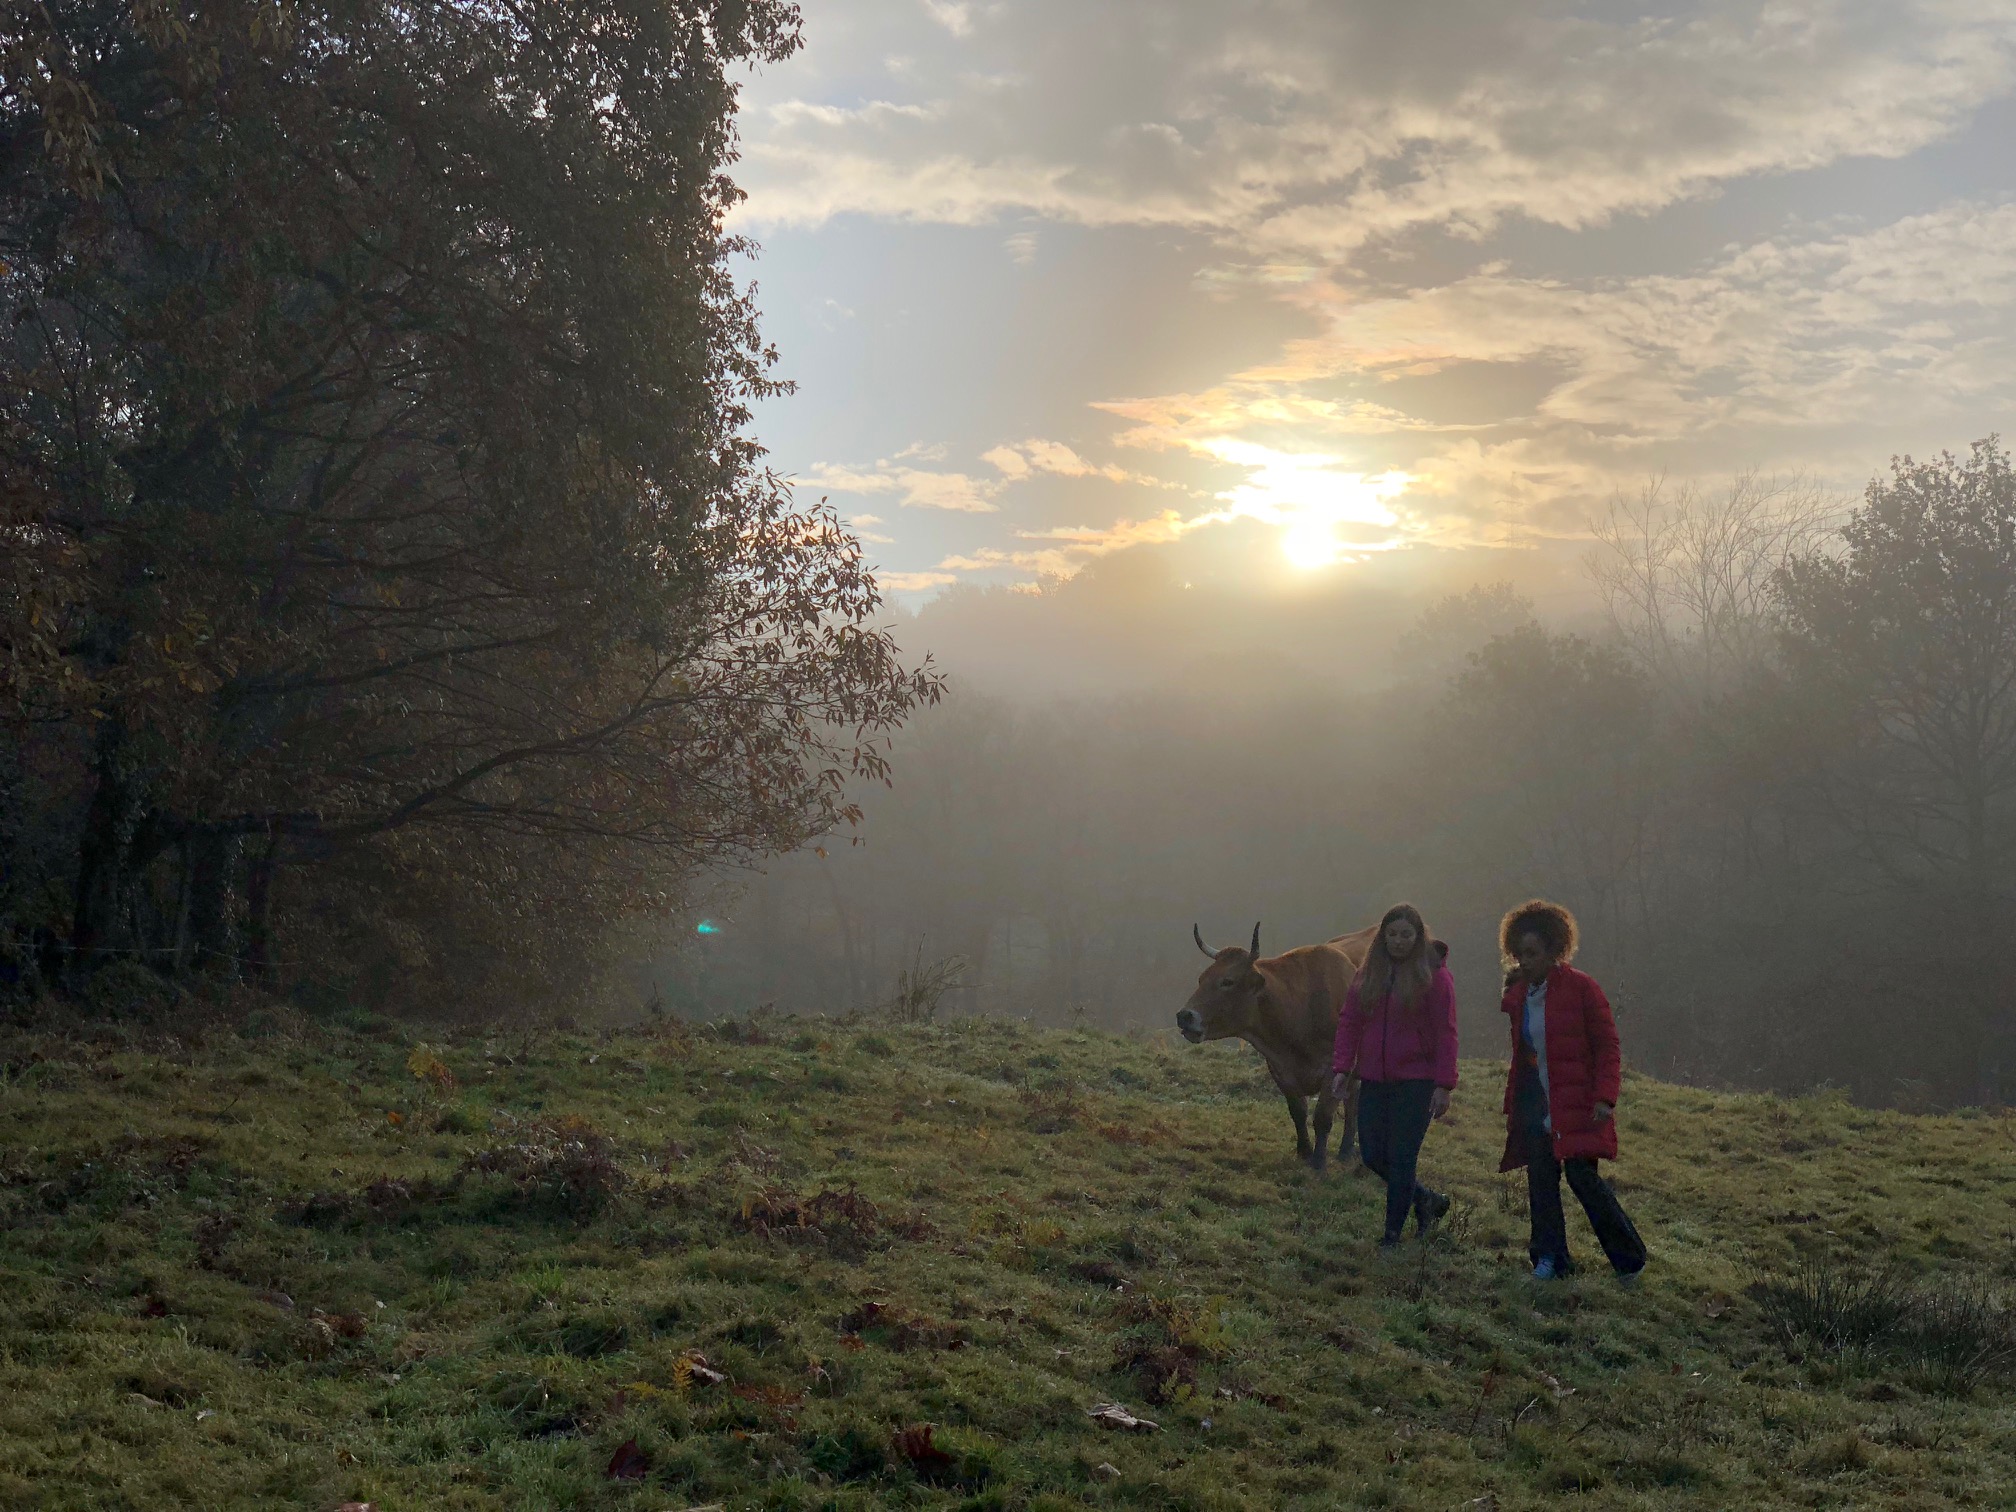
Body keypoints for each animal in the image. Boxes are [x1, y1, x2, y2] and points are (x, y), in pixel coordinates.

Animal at [1177, 923, 1378, 1169]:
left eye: (1228, 981)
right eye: (1201, 978)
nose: (1185, 1016)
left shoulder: (1334, 1068)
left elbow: (1322, 1116)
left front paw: (1318, 1162)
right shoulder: (1279, 1068)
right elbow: (1298, 1111)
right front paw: (1304, 1151)